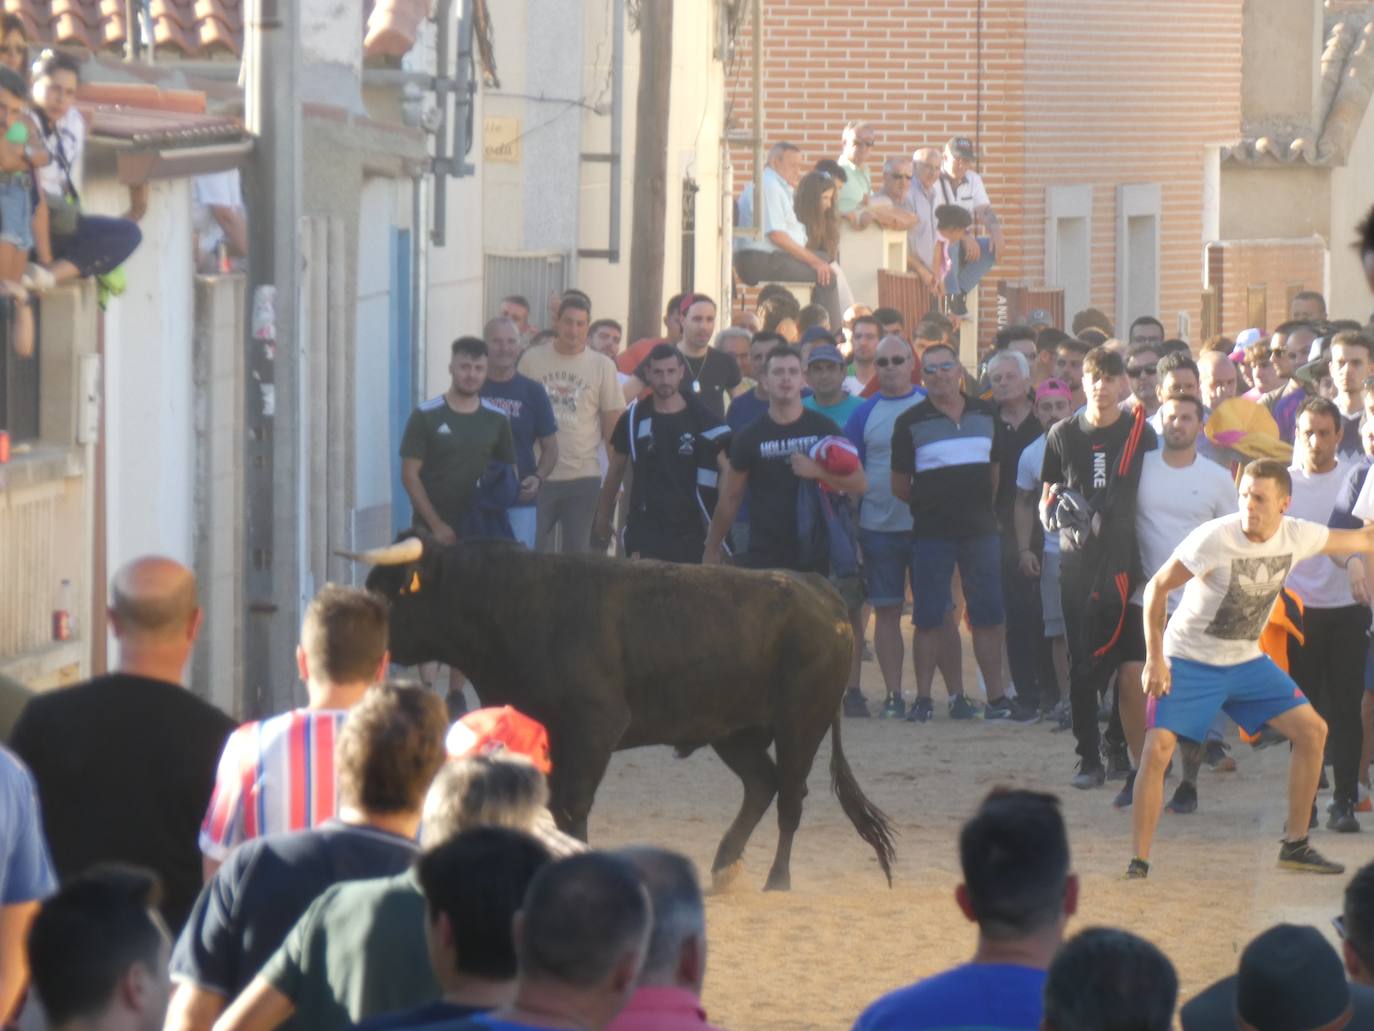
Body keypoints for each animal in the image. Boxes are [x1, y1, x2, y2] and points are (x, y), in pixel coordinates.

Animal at [354, 536, 895, 890]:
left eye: (388, 592)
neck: (510, 604)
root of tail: (819, 589)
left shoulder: (594, 728)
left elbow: (572, 805)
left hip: (801, 724)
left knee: (791, 795)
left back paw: (777, 880)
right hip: (736, 732)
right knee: (762, 784)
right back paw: (723, 867)